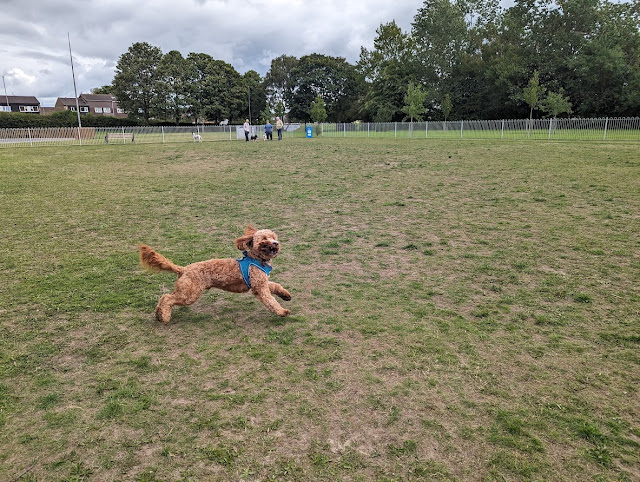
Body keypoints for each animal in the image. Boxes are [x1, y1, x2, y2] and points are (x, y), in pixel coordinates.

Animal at [140, 226, 292, 324]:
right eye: (265, 238)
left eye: (274, 237)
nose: (276, 243)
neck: (256, 259)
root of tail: (183, 269)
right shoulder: (260, 287)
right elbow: (270, 300)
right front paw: (282, 311)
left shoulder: (261, 283)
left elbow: (276, 286)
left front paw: (286, 295)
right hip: (190, 294)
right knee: (167, 298)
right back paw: (164, 317)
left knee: (164, 297)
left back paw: (159, 314)